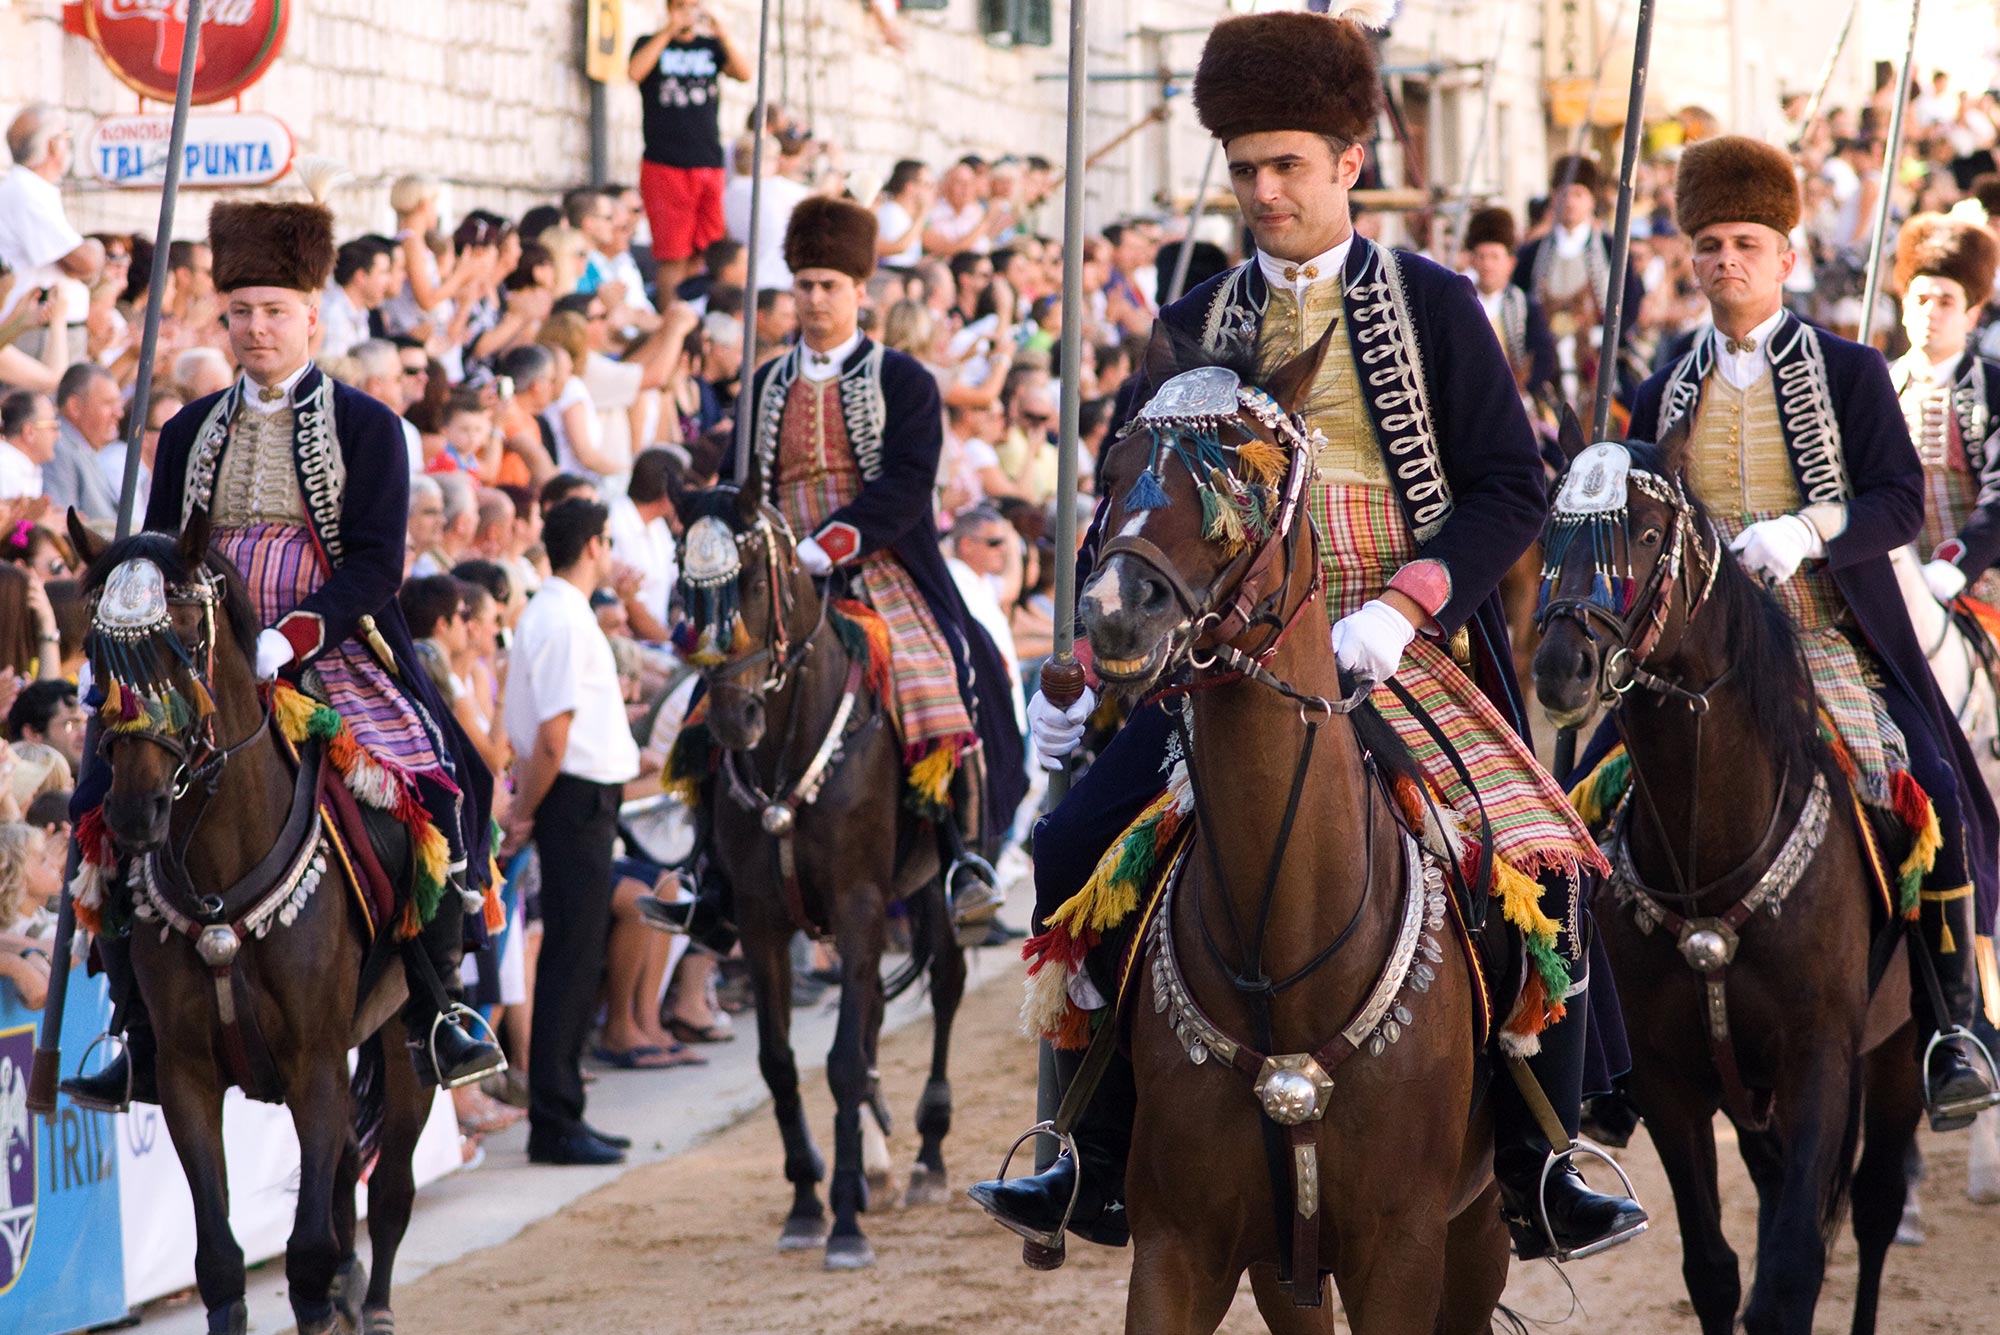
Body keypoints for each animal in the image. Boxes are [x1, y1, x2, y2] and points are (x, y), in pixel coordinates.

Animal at [70, 515, 434, 1335]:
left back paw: (377, 1305)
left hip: (404, 1038)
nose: (134, 813)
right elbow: (220, 1261)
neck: (218, 895)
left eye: (183, 642)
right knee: (345, 1181)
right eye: (97, 656)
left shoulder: (314, 1065)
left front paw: (332, 1298)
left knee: (391, 1187)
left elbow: (306, 1254)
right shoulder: (186, 1078)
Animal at [676, 473, 964, 1271]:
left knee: (946, 984)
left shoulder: (861, 904)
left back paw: (926, 1155)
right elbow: (780, 1062)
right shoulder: (760, 919)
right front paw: (808, 1202)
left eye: (752, 582)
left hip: (930, 887)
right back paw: (873, 1167)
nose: (732, 720)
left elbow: (837, 1062)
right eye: (683, 588)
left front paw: (844, 1226)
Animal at [1072, 353, 1504, 1335]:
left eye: (1245, 482)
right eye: (1109, 474)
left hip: (1479, 1225)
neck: (1283, 952)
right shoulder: (1179, 1247)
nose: (1114, 613)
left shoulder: (1402, 1251)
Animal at [1528, 429, 1920, 1335]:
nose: (1561, 669)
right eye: (1552, 536)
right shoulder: (1671, 1083)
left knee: (1877, 1208)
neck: (1710, 864)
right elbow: (1713, 1267)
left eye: (1640, 534)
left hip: (1896, 1056)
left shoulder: (1821, 1063)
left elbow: (1789, 1274)